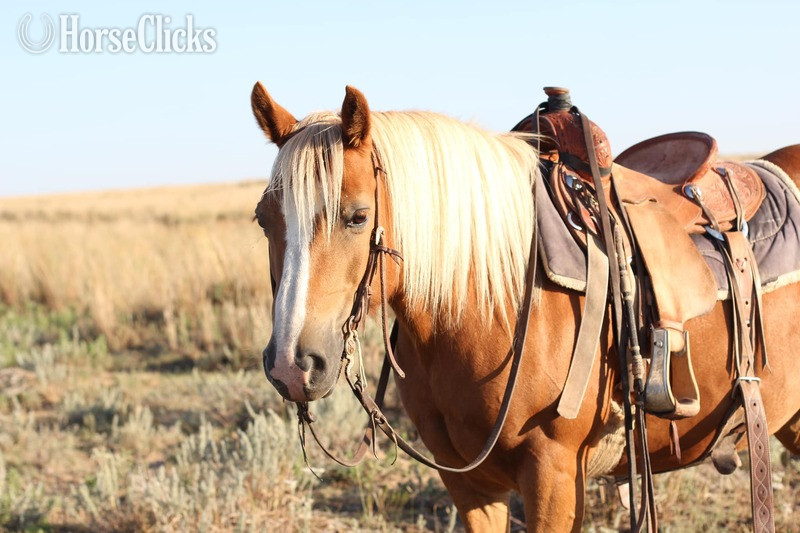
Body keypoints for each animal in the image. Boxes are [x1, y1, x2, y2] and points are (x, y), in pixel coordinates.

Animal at [250, 81, 800, 532]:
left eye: (358, 216)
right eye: (262, 219)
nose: (293, 366)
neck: (490, 303)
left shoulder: (554, 476)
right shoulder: (468, 484)